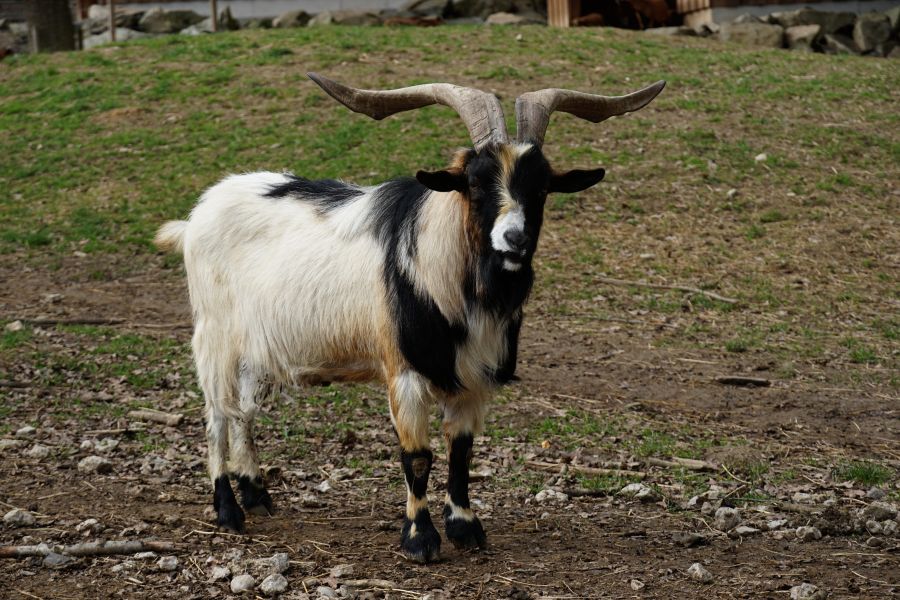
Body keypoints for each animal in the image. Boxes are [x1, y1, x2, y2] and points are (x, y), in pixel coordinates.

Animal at [155, 74, 665, 563]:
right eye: (474, 182)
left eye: (541, 186)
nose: (515, 238)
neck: (452, 279)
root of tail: (198, 215)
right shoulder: (405, 373)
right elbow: (417, 457)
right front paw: (420, 540)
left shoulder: (473, 378)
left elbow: (461, 452)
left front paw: (465, 528)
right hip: (214, 334)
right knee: (217, 415)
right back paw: (228, 510)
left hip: (257, 349)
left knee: (243, 411)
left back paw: (257, 495)